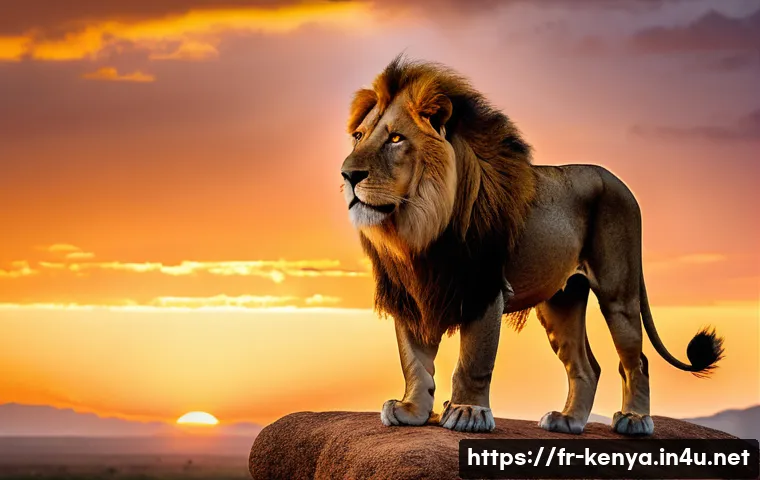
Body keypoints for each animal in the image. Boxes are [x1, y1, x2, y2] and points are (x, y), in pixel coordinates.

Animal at [340, 56, 724, 436]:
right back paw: (568, 421)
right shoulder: (410, 294)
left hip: (619, 293)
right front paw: (412, 410)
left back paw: (635, 420)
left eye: (395, 138)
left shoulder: (484, 288)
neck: (417, 229)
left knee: (636, 360)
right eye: (359, 136)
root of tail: (618, 181)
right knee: (587, 366)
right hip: (561, 302)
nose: (348, 174)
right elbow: (414, 360)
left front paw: (467, 412)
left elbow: (473, 359)